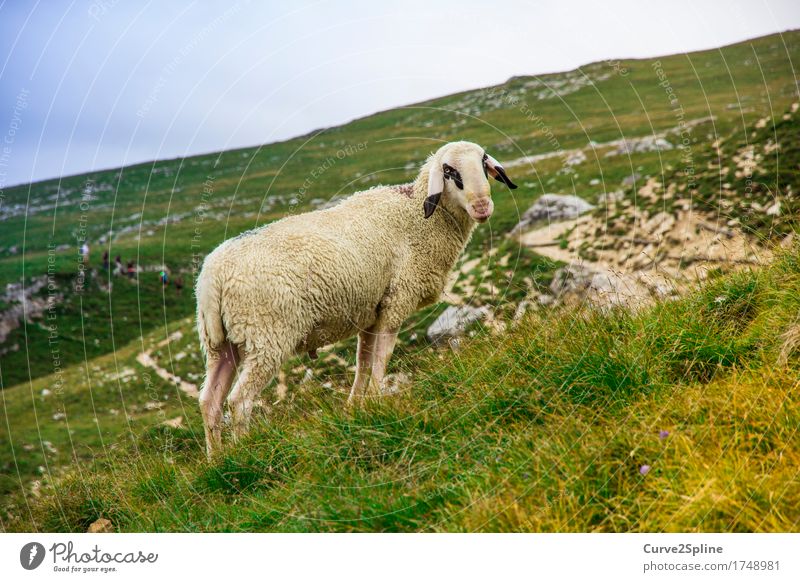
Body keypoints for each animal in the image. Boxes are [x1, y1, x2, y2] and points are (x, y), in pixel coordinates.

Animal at [196, 140, 516, 456]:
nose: (482, 206)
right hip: (267, 335)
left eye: (483, 161)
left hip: (221, 343)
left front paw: (357, 408)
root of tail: (212, 276)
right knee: (239, 401)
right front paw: (378, 402)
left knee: (209, 401)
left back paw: (217, 460)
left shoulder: (370, 313)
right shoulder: (396, 301)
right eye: (449, 171)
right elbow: (382, 358)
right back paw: (245, 452)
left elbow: (363, 363)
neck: (417, 217)